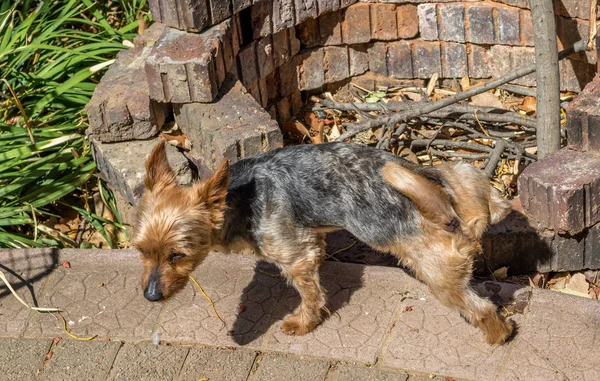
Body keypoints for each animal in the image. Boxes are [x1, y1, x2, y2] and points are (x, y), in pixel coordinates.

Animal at [134, 140, 512, 344]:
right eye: (141, 251)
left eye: (177, 255)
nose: (150, 297)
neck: (236, 196)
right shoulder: (312, 237)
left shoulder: (296, 255)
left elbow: (310, 294)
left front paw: (303, 323)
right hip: (449, 173)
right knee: (469, 184)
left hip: (435, 267)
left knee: (480, 307)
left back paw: (498, 335)